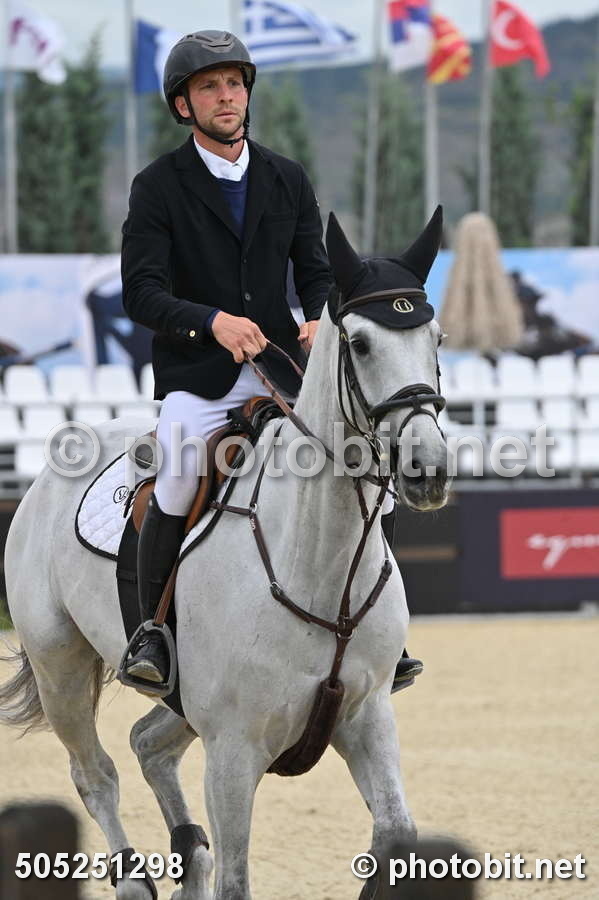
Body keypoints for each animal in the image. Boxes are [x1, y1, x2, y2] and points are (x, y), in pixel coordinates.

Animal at [0, 209, 451, 899]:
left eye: (436, 336)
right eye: (360, 344)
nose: (427, 470)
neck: (318, 565)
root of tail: (58, 461)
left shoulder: (367, 716)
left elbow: (397, 837)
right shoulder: (234, 753)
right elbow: (237, 880)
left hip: (180, 705)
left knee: (148, 745)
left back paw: (189, 855)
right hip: (61, 667)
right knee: (95, 773)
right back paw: (134, 878)